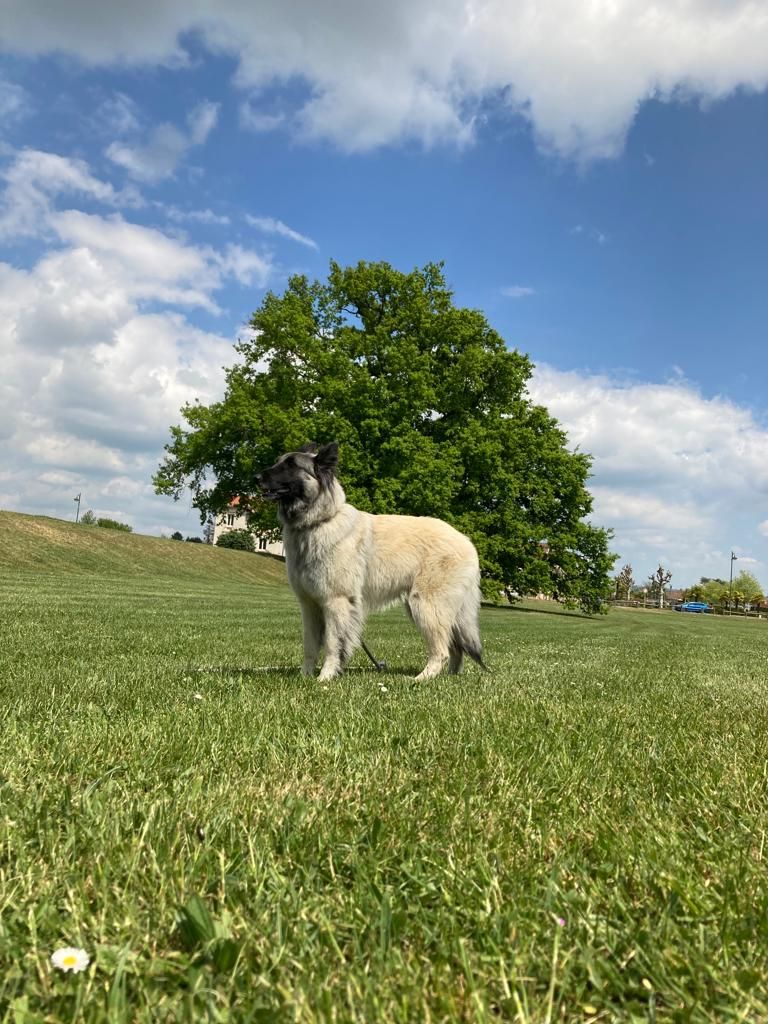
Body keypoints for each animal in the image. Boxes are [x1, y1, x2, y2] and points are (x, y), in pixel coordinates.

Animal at [259, 444, 487, 684]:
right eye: (278, 461)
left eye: (291, 465)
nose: (256, 478)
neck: (320, 521)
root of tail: (468, 543)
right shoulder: (310, 605)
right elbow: (310, 646)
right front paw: (305, 676)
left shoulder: (335, 602)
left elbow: (332, 644)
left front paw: (325, 678)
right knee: (456, 648)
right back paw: (449, 678)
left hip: (426, 606)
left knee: (442, 651)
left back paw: (421, 679)